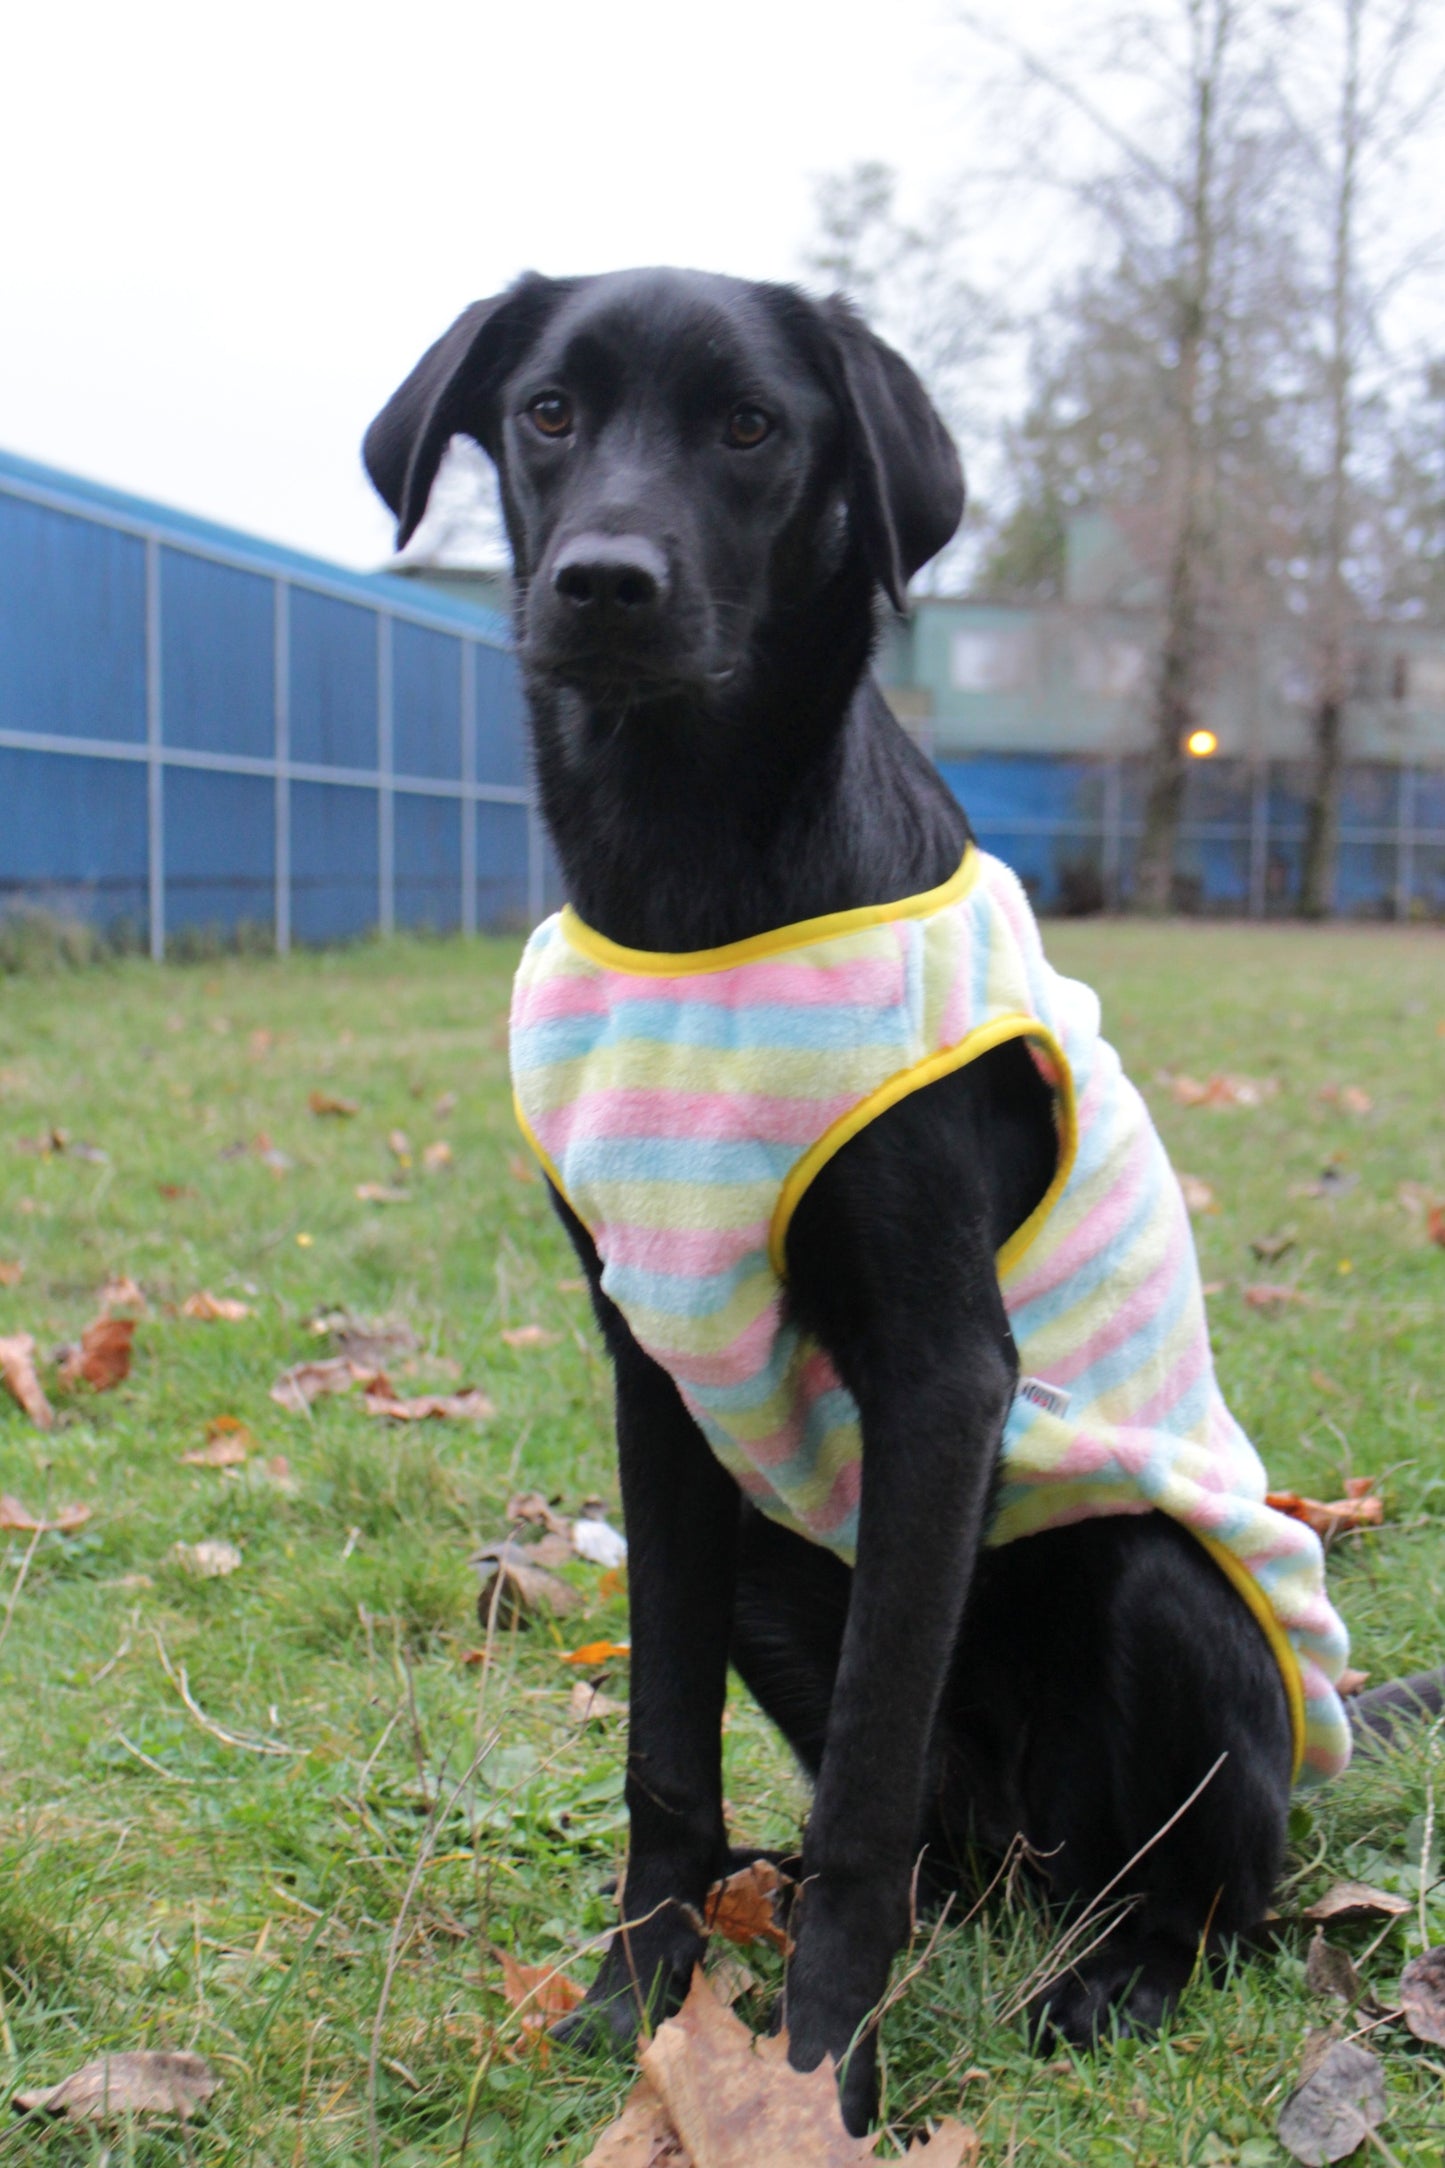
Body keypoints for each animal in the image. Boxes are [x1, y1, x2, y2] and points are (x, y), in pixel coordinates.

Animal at [363, 271, 1445, 2133]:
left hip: (1162, 1604)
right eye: (548, 412)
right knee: (922, 1833)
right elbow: (664, 1752)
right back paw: (797, 1890)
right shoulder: (654, 1373)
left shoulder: (945, 1376)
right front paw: (637, 2007)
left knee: (1200, 1883)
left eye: (752, 428)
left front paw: (815, 2080)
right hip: (777, 1552)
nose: (605, 584)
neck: (690, 884)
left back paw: (1116, 1973)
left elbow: (865, 1775)